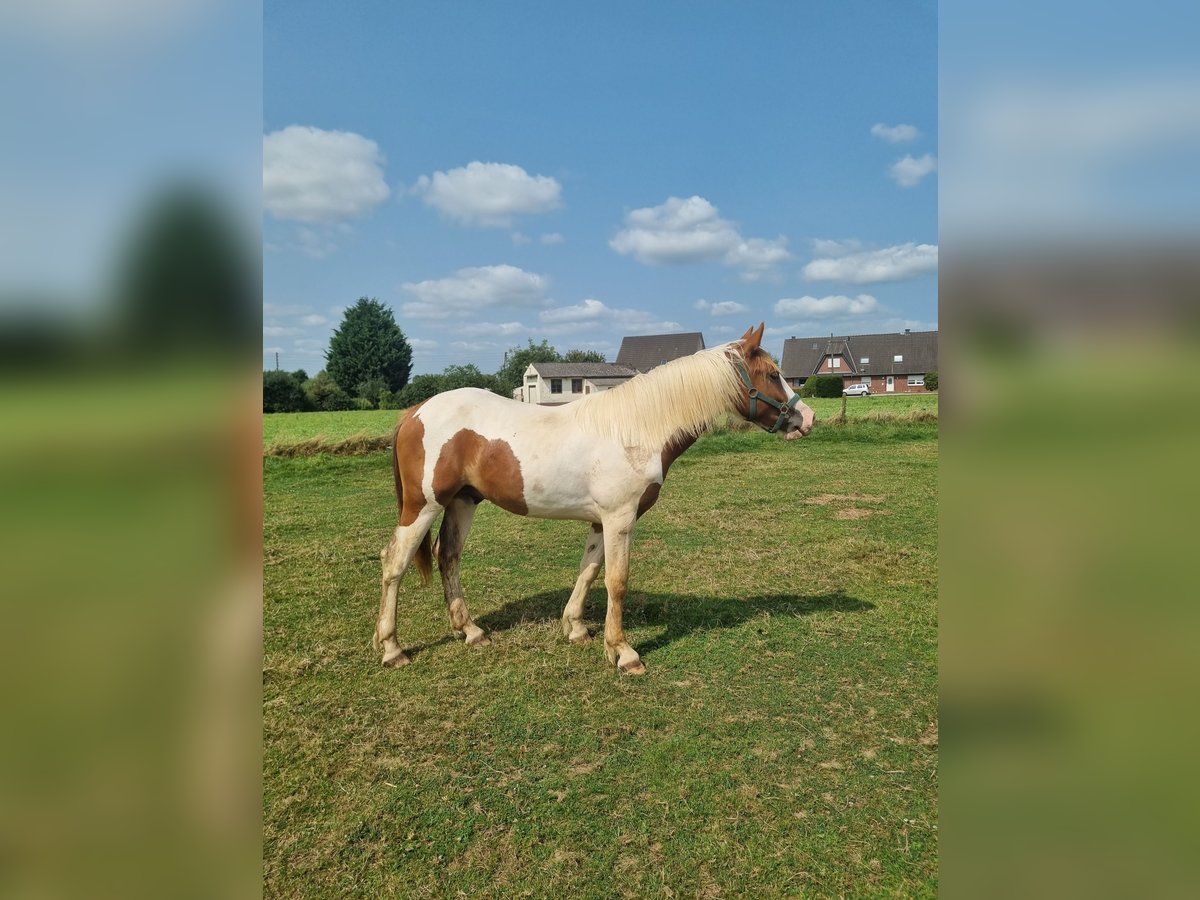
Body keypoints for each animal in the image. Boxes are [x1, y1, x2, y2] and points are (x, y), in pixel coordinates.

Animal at [369, 324, 811, 676]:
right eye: (772, 374)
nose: (806, 419)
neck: (637, 429)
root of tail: (415, 411)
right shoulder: (620, 518)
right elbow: (617, 580)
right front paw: (623, 653)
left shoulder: (603, 520)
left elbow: (590, 570)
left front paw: (577, 628)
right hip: (423, 506)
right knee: (395, 562)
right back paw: (392, 648)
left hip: (462, 502)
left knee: (448, 557)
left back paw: (471, 631)